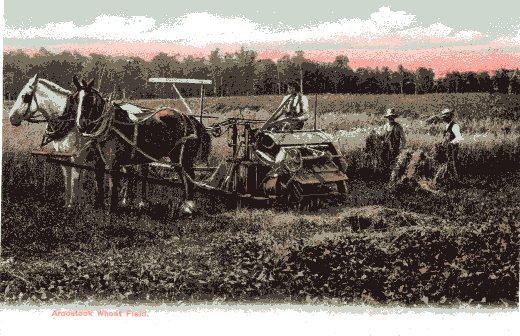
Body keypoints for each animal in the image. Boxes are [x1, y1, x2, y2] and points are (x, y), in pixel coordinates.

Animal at [8, 75, 91, 209]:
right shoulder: (64, 155)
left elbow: (74, 178)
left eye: (25, 96)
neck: (70, 120)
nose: (11, 118)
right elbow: (68, 178)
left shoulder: (76, 156)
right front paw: (69, 204)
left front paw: (74, 206)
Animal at [70, 78, 210, 215]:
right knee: (186, 178)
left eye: (89, 99)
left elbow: (112, 185)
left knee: (189, 177)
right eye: (75, 98)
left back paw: (189, 206)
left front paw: (112, 210)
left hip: (181, 157)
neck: (110, 127)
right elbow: (98, 183)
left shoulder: (113, 163)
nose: (80, 125)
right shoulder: (98, 162)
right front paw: (98, 207)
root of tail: (188, 118)